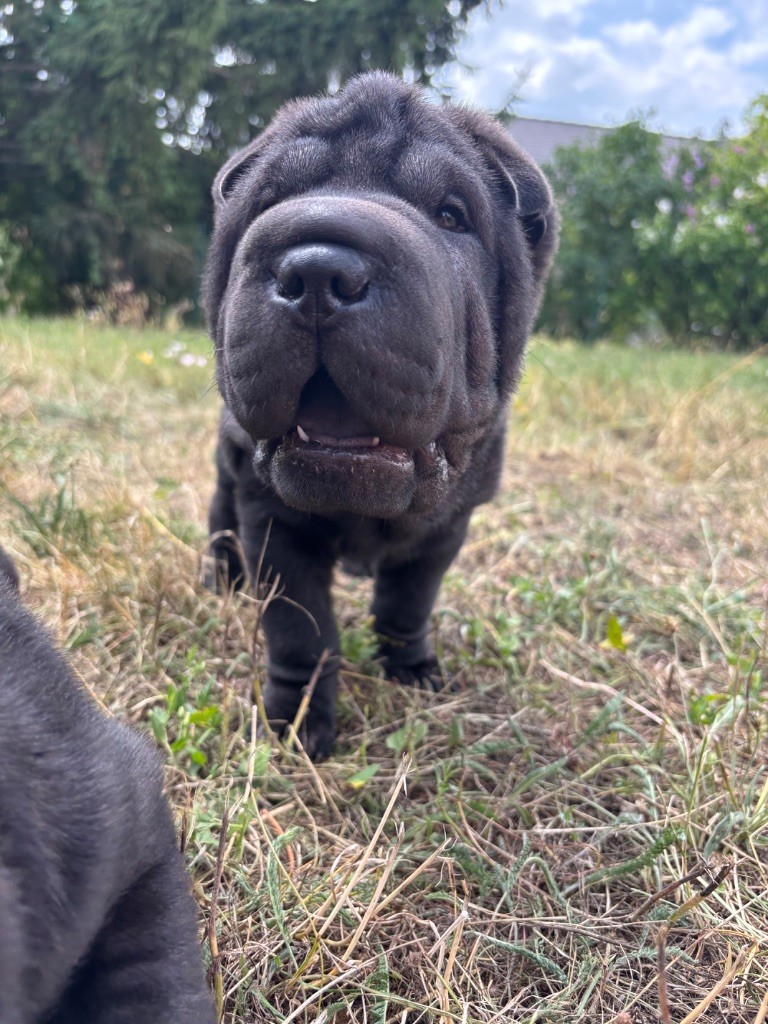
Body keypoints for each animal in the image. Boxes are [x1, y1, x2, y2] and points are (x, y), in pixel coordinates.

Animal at [203, 72, 557, 760]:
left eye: (450, 216)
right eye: (267, 203)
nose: (317, 271)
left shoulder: (447, 527)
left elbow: (408, 603)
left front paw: (413, 670)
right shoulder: (274, 522)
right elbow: (300, 631)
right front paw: (297, 721)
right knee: (219, 522)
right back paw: (222, 581)